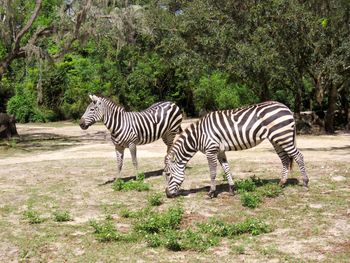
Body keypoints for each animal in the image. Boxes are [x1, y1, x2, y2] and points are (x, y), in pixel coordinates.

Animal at [164, 101, 308, 198]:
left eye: (168, 174)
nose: (167, 194)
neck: (198, 136)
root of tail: (286, 107)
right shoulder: (220, 151)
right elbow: (226, 169)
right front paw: (232, 189)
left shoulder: (211, 150)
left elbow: (212, 172)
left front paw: (211, 192)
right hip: (277, 139)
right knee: (285, 159)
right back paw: (282, 183)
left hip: (283, 136)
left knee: (299, 156)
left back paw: (305, 183)